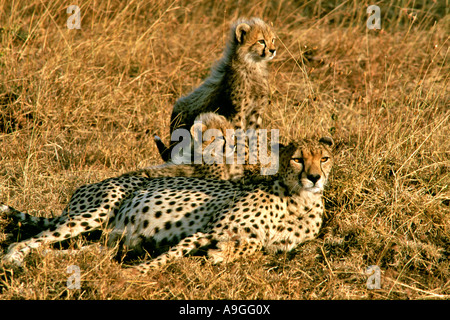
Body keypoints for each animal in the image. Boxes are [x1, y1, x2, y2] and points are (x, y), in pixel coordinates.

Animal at [0, 136, 330, 272]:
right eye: (297, 158)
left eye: (324, 158)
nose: (314, 177)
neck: (298, 201)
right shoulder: (207, 229)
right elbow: (170, 255)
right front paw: (137, 274)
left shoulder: (268, 244)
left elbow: (254, 244)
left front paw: (222, 253)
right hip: (96, 211)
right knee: (25, 241)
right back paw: (14, 261)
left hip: (111, 241)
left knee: (79, 252)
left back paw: (45, 260)